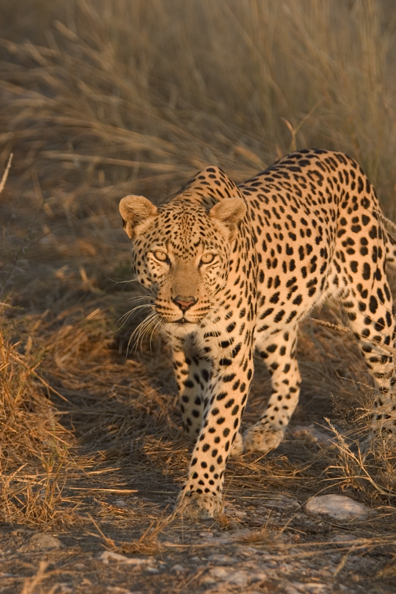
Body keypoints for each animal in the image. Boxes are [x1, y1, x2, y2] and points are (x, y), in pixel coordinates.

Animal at [119, 149, 396, 520]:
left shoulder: (234, 356)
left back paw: (382, 441)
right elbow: (193, 407)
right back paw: (268, 430)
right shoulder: (181, 348)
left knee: (387, 368)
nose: (184, 303)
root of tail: (342, 156)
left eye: (208, 259)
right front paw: (224, 441)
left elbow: (217, 424)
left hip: (369, 304)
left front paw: (200, 493)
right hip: (277, 319)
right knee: (291, 374)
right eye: (161, 257)